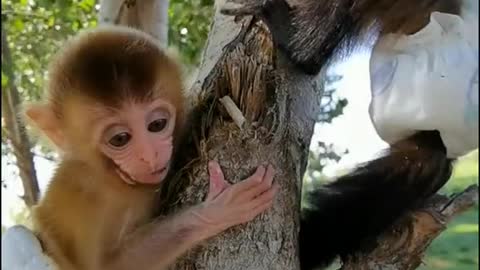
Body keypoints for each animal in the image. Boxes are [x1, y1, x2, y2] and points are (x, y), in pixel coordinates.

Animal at [23, 25, 278, 270]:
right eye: (120, 139)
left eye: (157, 125)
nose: (150, 154)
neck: (114, 179)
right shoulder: (84, 195)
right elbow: (107, 266)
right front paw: (215, 212)